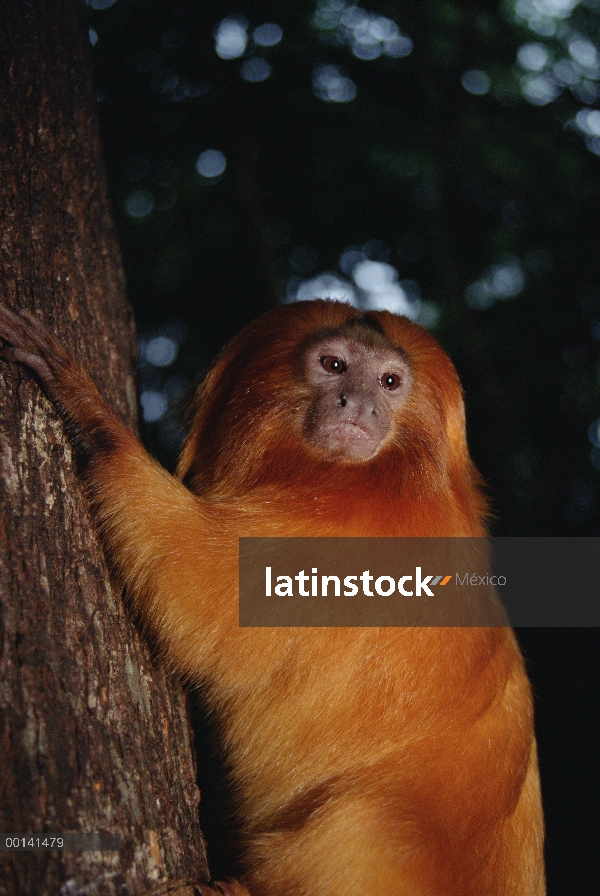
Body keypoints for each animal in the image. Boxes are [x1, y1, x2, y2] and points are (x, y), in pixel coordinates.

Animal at [0, 300, 544, 896]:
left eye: (389, 382)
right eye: (333, 365)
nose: (357, 403)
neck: (378, 472)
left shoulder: (353, 534)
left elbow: (204, 598)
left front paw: (89, 412)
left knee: (362, 819)